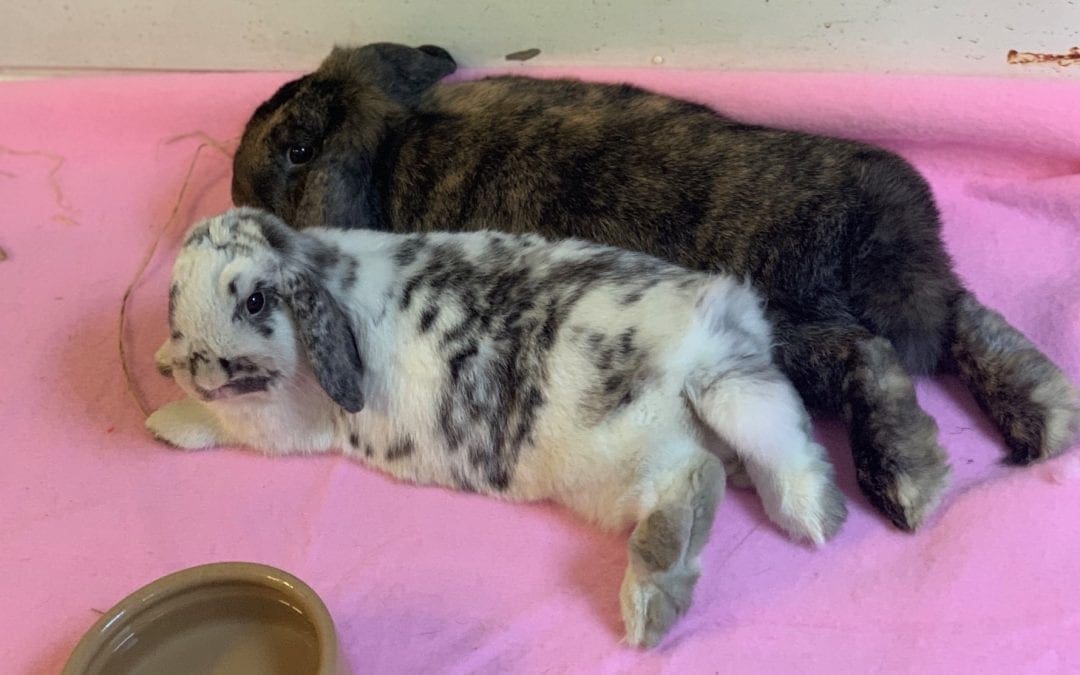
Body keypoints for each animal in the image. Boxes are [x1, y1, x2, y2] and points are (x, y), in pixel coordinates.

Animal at [147, 207, 848, 648]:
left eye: (255, 301)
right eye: (173, 299)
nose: (197, 366)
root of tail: (698, 356)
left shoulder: (279, 422)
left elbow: (224, 423)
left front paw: (165, 420)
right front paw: (161, 366)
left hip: (618, 452)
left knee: (692, 479)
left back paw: (649, 598)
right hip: (724, 406)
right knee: (772, 445)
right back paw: (812, 518)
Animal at [230, 42, 1080, 533]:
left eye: (292, 150)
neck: (392, 138)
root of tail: (888, 243)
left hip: (794, 328)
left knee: (870, 356)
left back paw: (904, 483)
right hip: (921, 299)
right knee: (967, 323)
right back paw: (1043, 417)